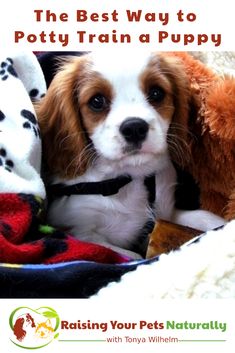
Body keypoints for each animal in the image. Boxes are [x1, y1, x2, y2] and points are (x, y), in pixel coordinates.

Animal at [35, 50, 208, 256]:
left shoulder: (166, 210)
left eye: (156, 93)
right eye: (97, 101)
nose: (134, 128)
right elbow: (128, 254)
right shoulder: (80, 231)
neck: (127, 178)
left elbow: (203, 218)